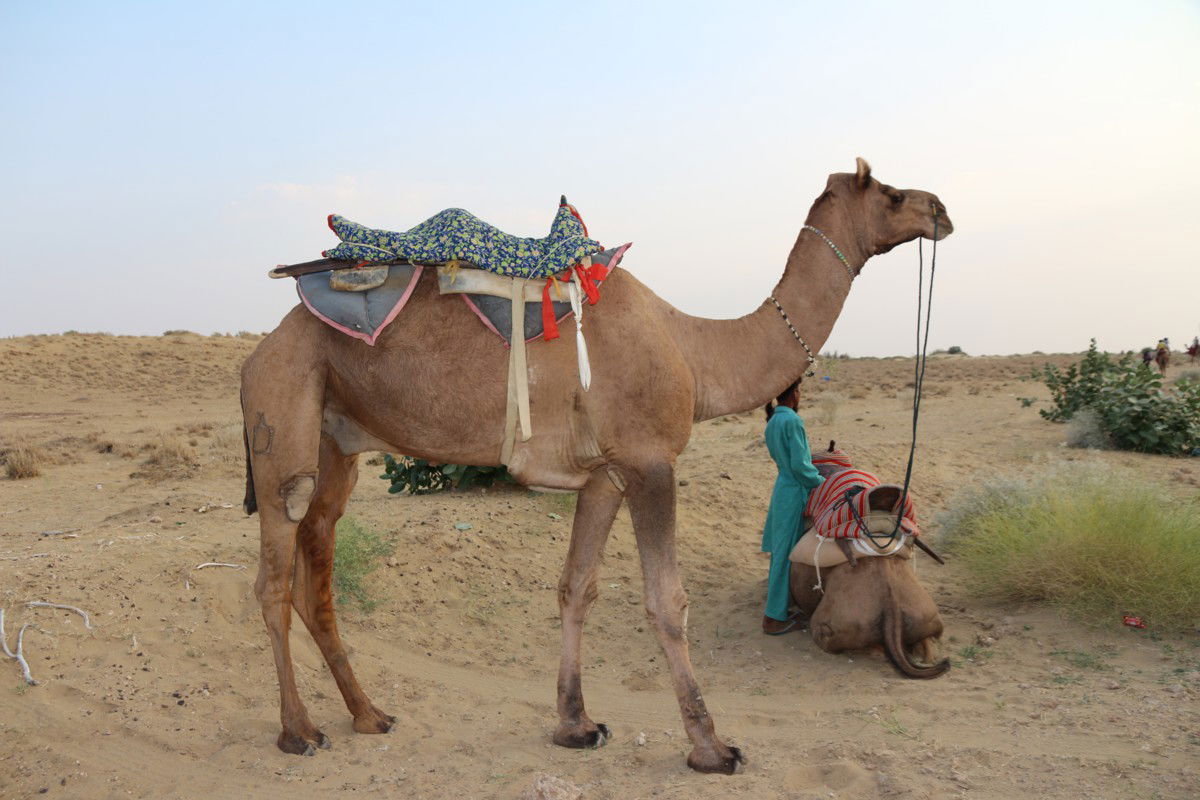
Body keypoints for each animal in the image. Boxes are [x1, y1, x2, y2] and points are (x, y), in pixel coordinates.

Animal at [238, 158, 950, 777]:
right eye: (890, 194)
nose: (940, 208)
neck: (694, 349)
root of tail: (259, 350)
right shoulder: (650, 461)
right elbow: (667, 600)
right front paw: (711, 747)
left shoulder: (606, 474)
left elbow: (576, 588)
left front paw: (576, 725)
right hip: (282, 417)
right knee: (274, 576)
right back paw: (299, 731)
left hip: (336, 438)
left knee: (317, 562)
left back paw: (369, 714)